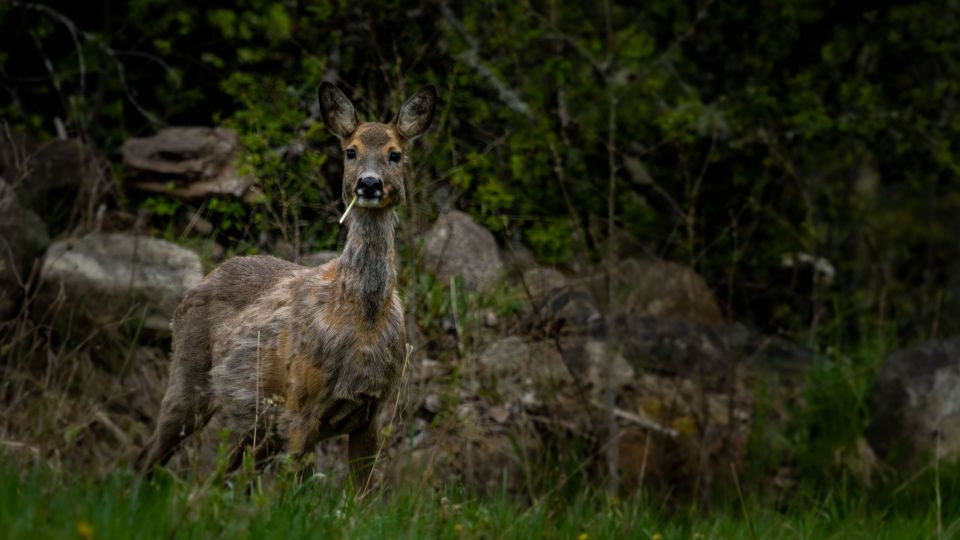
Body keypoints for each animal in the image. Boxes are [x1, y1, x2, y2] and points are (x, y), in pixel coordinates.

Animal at [137, 82, 438, 490]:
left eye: (396, 154)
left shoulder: (372, 410)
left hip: (259, 424)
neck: (360, 321)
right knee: (151, 454)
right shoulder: (301, 405)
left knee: (216, 477)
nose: (369, 183)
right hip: (190, 376)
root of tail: (197, 285)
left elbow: (359, 495)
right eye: (351, 151)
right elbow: (289, 491)